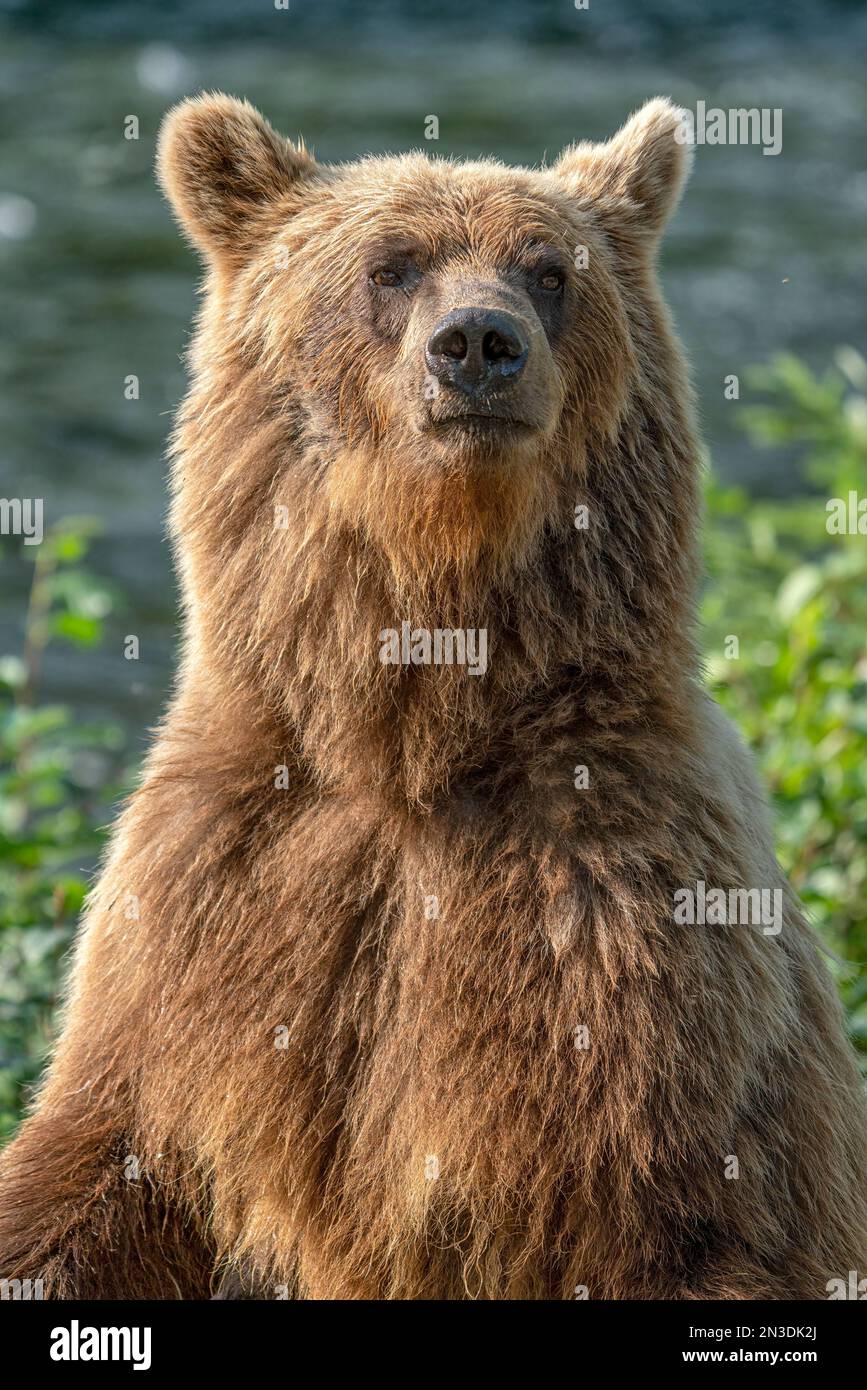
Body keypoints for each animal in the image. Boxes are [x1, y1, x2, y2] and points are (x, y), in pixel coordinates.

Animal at [0, 94, 865, 1301]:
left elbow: (697, 1222)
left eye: (549, 269)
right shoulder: (209, 917)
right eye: (391, 265)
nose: (477, 345)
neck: (413, 740)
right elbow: (97, 1173)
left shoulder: (629, 943)